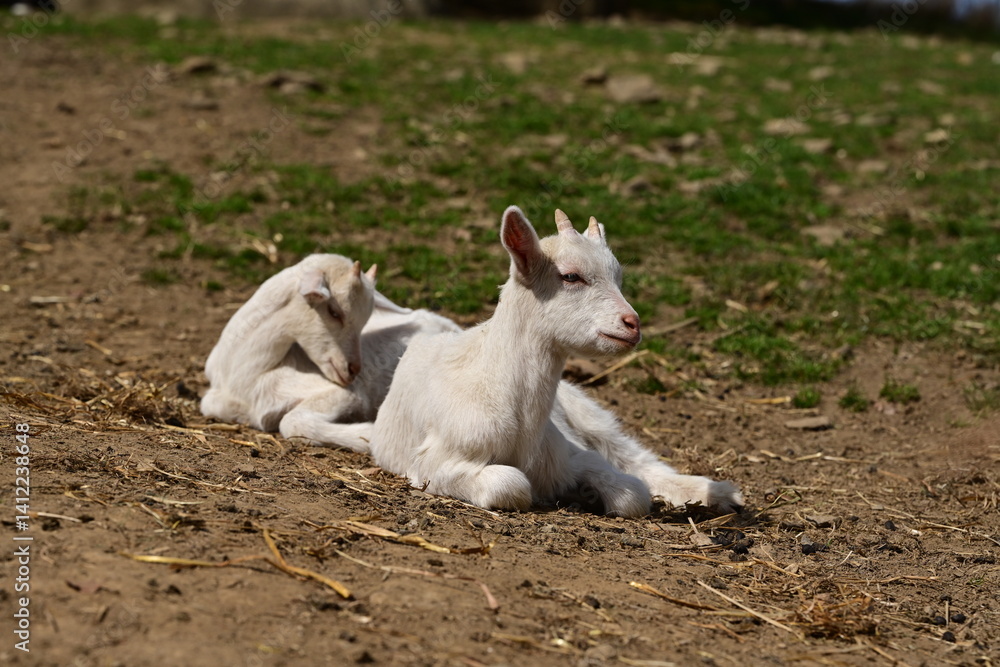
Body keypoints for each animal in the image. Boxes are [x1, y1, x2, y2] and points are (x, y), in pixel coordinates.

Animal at [370, 207, 743, 517]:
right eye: (570, 276)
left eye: (619, 278)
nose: (633, 324)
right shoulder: (435, 461)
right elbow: (511, 485)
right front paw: (582, 493)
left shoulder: (569, 452)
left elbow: (633, 494)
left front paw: (591, 492)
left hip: (583, 408)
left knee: (632, 456)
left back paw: (719, 494)